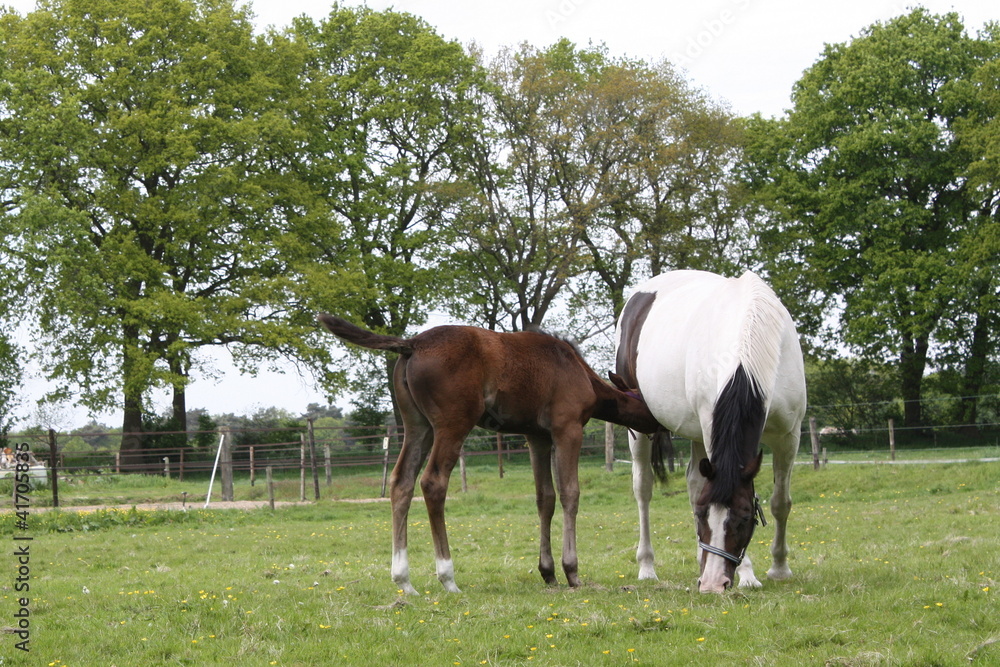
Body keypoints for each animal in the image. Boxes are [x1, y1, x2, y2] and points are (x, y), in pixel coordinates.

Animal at [318, 314, 661, 594]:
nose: (661, 428)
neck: (580, 372)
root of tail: (412, 344)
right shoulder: (567, 429)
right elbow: (569, 494)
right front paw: (571, 571)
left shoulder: (536, 436)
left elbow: (545, 498)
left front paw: (547, 571)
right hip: (453, 423)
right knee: (432, 482)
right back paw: (448, 577)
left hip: (417, 425)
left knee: (401, 482)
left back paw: (404, 580)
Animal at [614, 270, 806, 593]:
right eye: (704, 516)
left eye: (745, 517)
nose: (714, 582)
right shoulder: (711, 427)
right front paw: (749, 574)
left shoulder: (788, 436)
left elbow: (781, 502)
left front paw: (780, 568)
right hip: (639, 429)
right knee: (643, 488)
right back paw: (647, 567)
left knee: (693, 482)